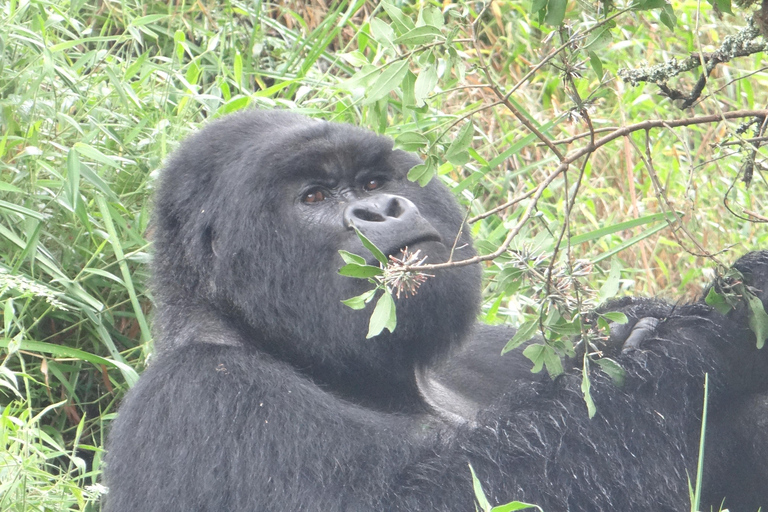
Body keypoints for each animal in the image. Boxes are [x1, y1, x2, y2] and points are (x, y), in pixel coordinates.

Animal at [103, 112, 768, 512]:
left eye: (373, 181)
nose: (380, 210)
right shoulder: (201, 397)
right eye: (313, 196)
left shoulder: (491, 349)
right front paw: (699, 338)